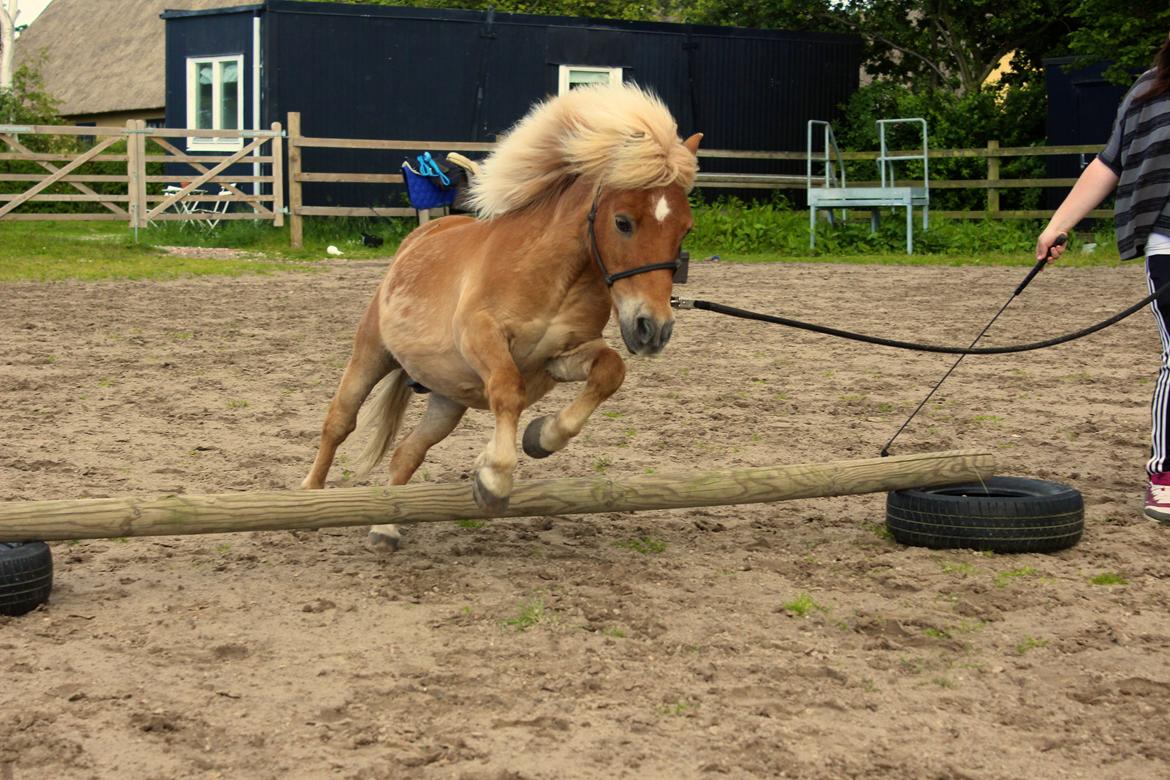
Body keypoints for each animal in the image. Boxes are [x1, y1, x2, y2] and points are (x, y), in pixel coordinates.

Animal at [304, 84, 702, 549]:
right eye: (623, 222)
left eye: (685, 229)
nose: (653, 329)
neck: (555, 275)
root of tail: (418, 237)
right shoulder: (483, 339)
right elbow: (508, 392)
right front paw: (493, 478)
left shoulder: (559, 358)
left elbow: (609, 371)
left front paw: (541, 438)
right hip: (371, 354)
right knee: (338, 423)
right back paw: (308, 499)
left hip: (447, 400)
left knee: (407, 452)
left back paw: (384, 528)